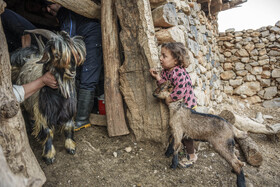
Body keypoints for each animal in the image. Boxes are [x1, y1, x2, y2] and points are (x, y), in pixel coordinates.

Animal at [11, 28, 85, 164]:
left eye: (74, 55)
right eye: (56, 55)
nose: (72, 71)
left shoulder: (69, 111)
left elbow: (68, 127)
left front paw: (71, 147)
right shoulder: (42, 112)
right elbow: (47, 132)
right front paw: (49, 156)